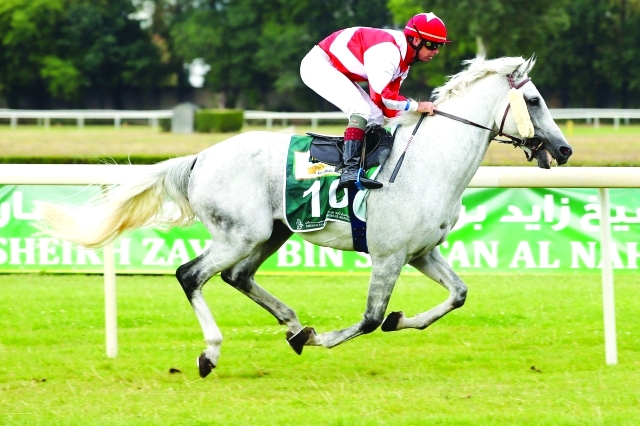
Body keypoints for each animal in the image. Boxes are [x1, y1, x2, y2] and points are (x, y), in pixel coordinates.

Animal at [40, 55, 572, 376]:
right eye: (533, 100)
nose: (565, 150)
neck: (429, 161)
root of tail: (200, 158)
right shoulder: (388, 255)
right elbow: (369, 318)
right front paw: (329, 337)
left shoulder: (420, 252)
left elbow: (458, 295)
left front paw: (398, 320)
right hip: (240, 233)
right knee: (191, 274)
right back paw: (213, 351)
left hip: (271, 233)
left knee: (237, 277)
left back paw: (295, 325)